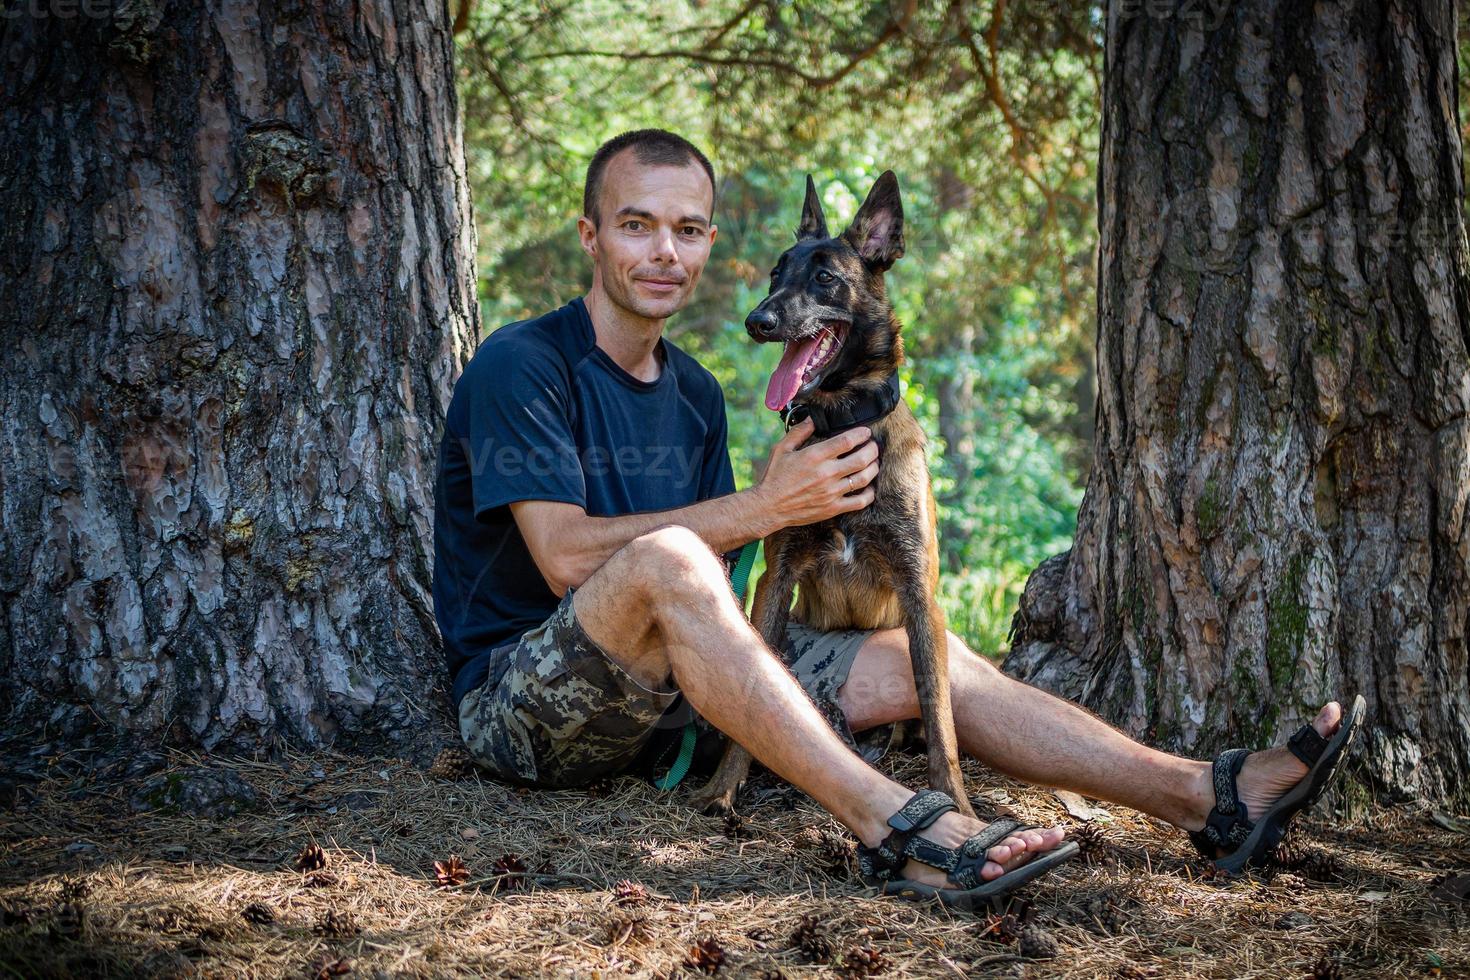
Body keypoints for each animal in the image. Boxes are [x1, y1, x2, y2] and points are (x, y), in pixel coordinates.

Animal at [687, 170, 976, 822]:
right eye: (776, 273)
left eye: (824, 278)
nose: (757, 321)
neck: (843, 421)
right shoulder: (775, 580)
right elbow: (753, 690)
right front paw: (723, 787)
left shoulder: (920, 592)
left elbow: (938, 710)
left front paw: (958, 805)